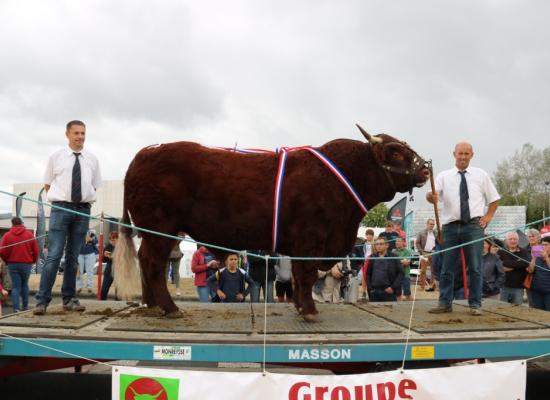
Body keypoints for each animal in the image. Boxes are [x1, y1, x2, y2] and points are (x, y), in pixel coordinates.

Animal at [113, 126, 432, 320]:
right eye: (396, 152)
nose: (426, 169)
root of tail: (146, 152)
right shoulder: (311, 238)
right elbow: (305, 275)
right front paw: (309, 310)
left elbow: (302, 277)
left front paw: (301, 307)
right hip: (161, 229)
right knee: (153, 263)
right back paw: (169, 307)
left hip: (155, 231)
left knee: (145, 260)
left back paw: (152, 305)